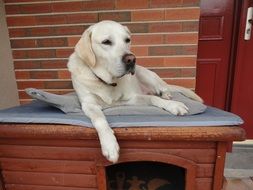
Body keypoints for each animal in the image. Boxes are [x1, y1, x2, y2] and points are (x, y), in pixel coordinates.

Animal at [66, 20, 202, 163]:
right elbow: (99, 119)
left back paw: (166, 95)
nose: (131, 59)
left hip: (146, 75)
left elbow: (154, 98)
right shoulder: (88, 104)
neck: (108, 81)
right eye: (106, 42)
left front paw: (173, 105)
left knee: (162, 88)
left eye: (127, 40)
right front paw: (110, 144)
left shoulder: (131, 99)